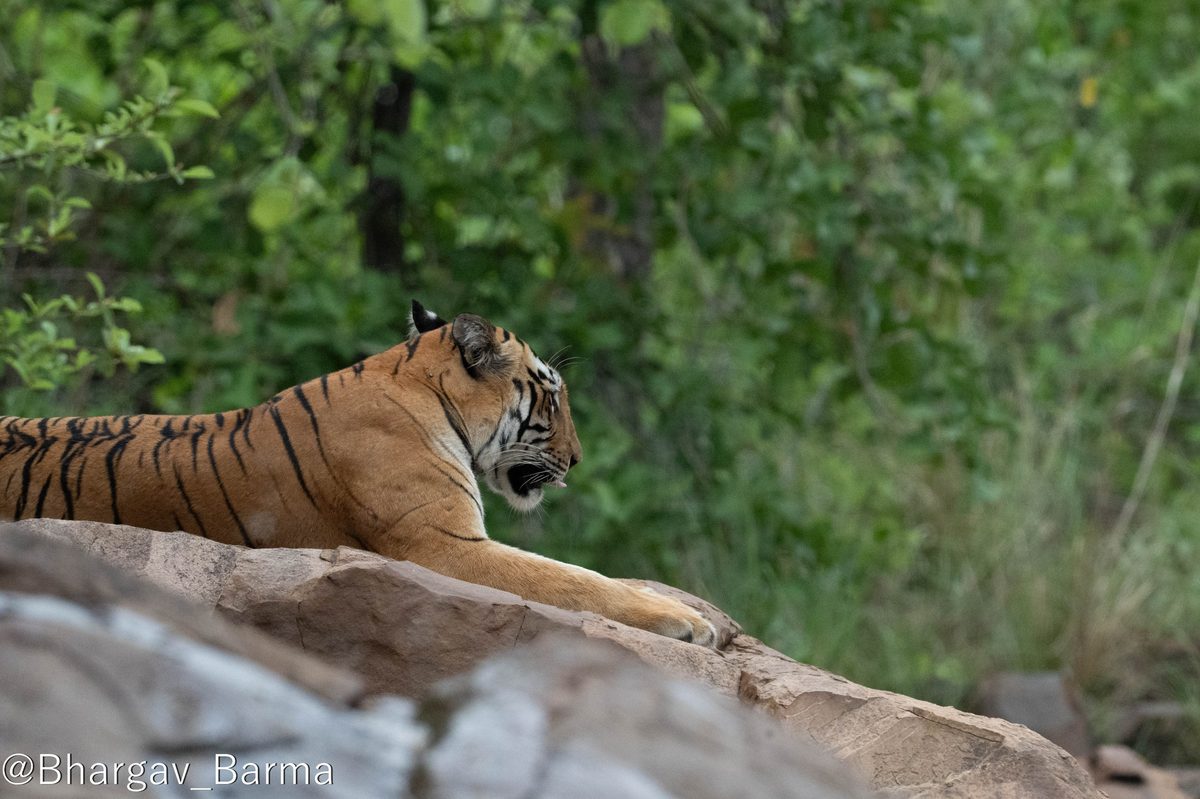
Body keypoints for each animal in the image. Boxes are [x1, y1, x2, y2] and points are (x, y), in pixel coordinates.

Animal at [0, 301, 716, 646]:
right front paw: (688, 621)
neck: (421, 383)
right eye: (553, 396)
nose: (578, 459)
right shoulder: (442, 545)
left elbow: (583, 574)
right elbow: (573, 580)